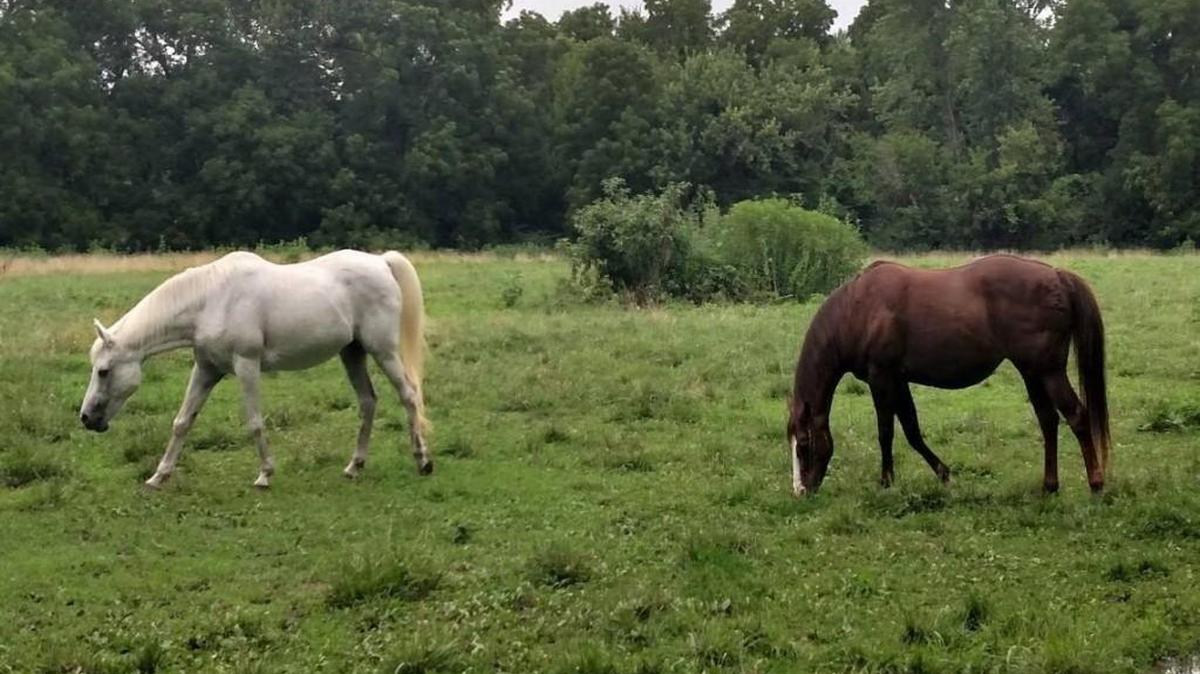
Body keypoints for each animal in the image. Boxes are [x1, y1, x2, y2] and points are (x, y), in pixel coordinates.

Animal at [79, 249, 431, 489]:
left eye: (104, 371)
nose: (86, 419)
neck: (209, 300)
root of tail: (381, 261)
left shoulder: (246, 364)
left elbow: (255, 422)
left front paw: (265, 474)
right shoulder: (206, 369)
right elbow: (182, 422)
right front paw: (158, 476)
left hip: (382, 351)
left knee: (409, 396)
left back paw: (423, 461)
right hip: (352, 353)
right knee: (368, 402)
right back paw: (354, 467)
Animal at [786, 254, 1110, 497]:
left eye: (803, 444)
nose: (802, 491)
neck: (857, 310)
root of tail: (1057, 276)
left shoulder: (881, 378)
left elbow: (886, 432)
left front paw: (886, 482)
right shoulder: (899, 380)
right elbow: (912, 431)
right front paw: (944, 474)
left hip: (1049, 371)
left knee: (1077, 416)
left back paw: (1096, 484)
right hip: (1032, 372)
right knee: (1048, 420)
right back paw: (1049, 486)